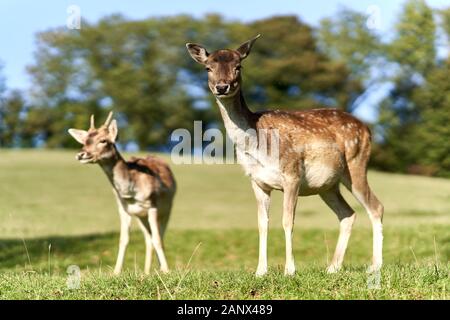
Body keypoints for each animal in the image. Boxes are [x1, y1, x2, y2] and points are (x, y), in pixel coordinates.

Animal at [68, 112, 176, 276]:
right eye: (85, 140)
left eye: (104, 140)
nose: (81, 154)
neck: (130, 192)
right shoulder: (123, 209)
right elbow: (123, 240)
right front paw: (116, 272)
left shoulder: (152, 205)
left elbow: (158, 239)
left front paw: (166, 270)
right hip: (141, 217)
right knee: (148, 238)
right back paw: (146, 272)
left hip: (167, 209)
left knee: (159, 236)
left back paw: (159, 268)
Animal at [186, 34, 384, 276]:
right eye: (208, 67)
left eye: (238, 66)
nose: (222, 86)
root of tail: (367, 129)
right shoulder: (257, 181)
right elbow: (262, 223)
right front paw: (260, 271)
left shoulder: (292, 173)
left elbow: (287, 221)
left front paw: (289, 270)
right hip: (328, 185)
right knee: (348, 214)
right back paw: (333, 268)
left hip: (356, 164)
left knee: (376, 207)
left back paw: (375, 266)